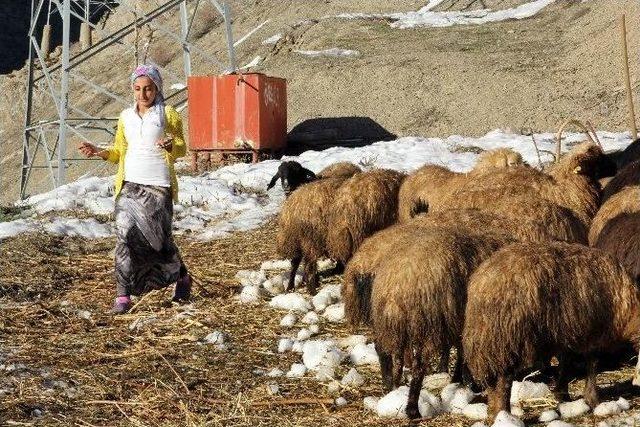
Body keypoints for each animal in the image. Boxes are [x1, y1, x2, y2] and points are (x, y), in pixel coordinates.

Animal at [368, 229, 508, 420]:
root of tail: (399, 284)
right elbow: (463, 351)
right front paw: (464, 379)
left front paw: (459, 379)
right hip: (428, 322)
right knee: (419, 365)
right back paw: (412, 409)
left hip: (391, 323)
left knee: (387, 352)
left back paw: (391, 388)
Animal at [462, 242, 640, 420]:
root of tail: (482, 283)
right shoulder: (594, 332)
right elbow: (592, 364)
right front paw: (592, 399)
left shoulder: (570, 333)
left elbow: (567, 362)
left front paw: (563, 395)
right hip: (507, 337)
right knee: (503, 380)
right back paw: (502, 413)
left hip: (491, 342)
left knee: (494, 381)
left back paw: (493, 412)